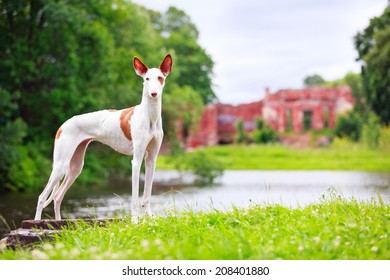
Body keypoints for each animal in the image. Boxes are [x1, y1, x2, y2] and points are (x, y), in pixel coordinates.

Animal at [34, 54, 172, 221]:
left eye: (160, 78)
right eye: (146, 79)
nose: (153, 94)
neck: (150, 116)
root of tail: (62, 125)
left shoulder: (151, 159)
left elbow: (147, 195)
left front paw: (150, 217)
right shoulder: (136, 161)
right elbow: (134, 197)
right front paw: (134, 219)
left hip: (75, 167)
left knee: (58, 197)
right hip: (61, 165)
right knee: (42, 197)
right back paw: (36, 222)